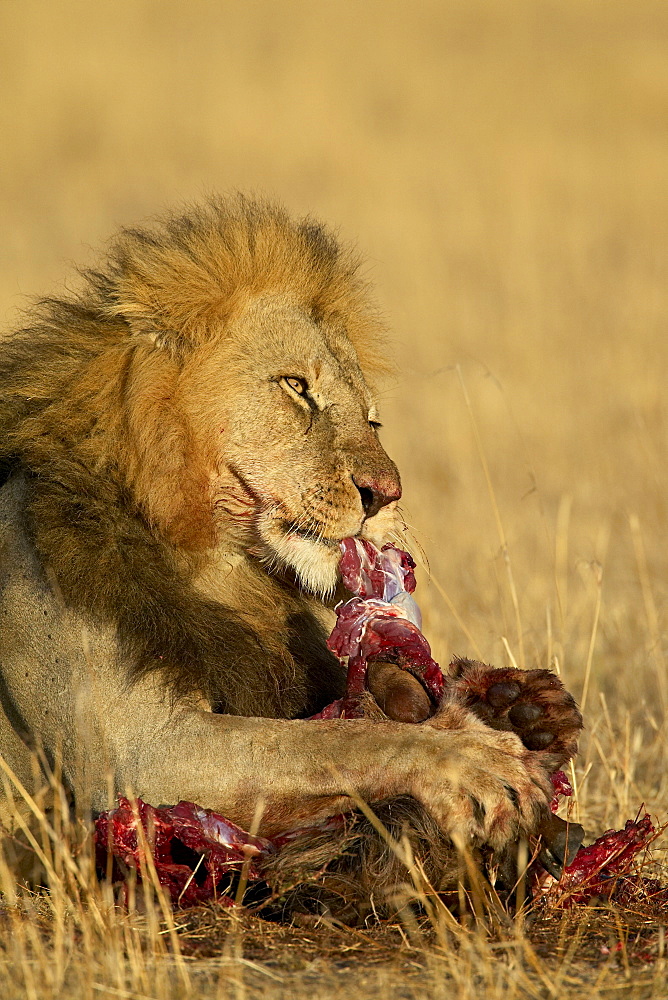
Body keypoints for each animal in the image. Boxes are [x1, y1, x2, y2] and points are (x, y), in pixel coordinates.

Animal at [0, 195, 580, 916]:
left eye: (372, 418)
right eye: (296, 387)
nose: (386, 493)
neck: (218, 566)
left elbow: (339, 722)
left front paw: (519, 707)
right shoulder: (139, 756)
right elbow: (329, 741)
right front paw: (476, 760)